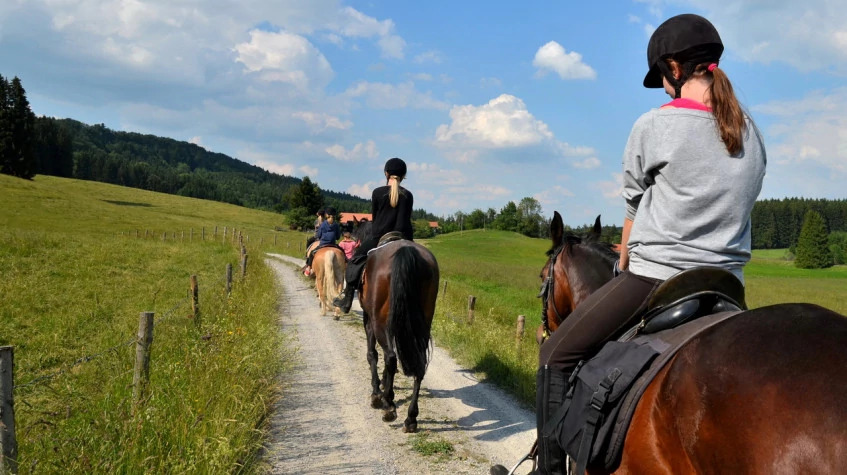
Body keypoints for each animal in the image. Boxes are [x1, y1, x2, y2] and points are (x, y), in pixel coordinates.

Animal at [358, 234, 440, 436]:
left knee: (390, 357)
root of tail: (407, 251)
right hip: (422, 324)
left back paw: (388, 406)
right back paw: (411, 418)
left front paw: (377, 393)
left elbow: (372, 355)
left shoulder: (369, 320)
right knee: (419, 365)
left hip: (379, 322)